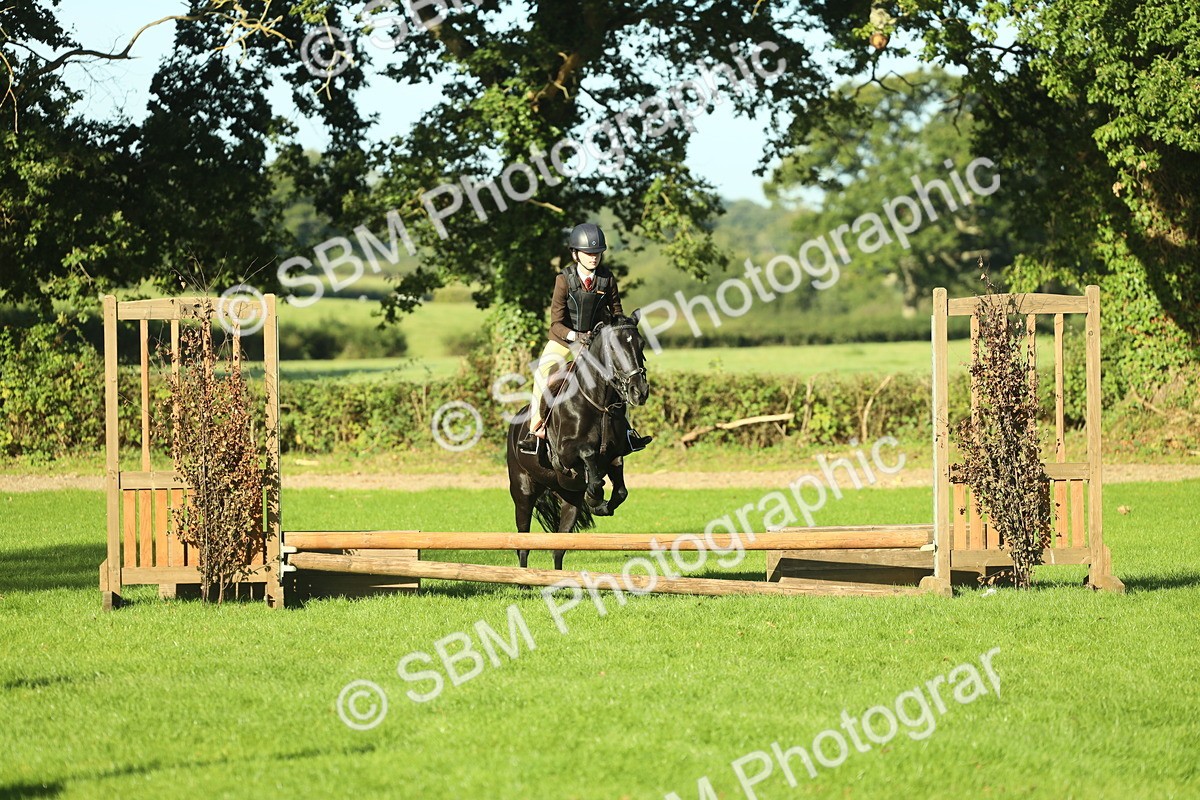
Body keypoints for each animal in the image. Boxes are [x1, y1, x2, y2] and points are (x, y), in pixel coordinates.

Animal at [506, 311, 649, 570]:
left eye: (641, 345)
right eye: (614, 348)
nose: (639, 392)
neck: (599, 403)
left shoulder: (616, 455)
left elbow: (620, 490)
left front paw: (600, 505)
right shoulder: (564, 454)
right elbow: (588, 455)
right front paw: (594, 495)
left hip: (568, 499)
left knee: (559, 548)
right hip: (522, 492)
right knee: (523, 544)